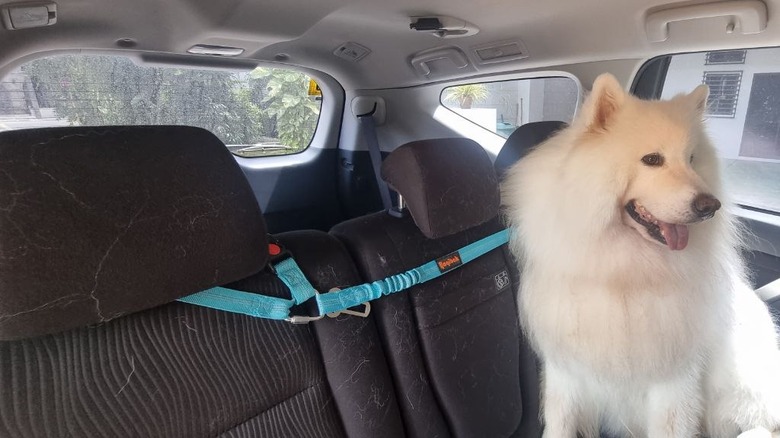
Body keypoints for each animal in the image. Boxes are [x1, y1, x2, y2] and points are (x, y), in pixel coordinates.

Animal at [502, 72, 780, 438]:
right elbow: (559, 423)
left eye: (692, 159)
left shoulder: (674, 381)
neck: (623, 273)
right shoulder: (566, 370)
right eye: (652, 160)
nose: (710, 206)